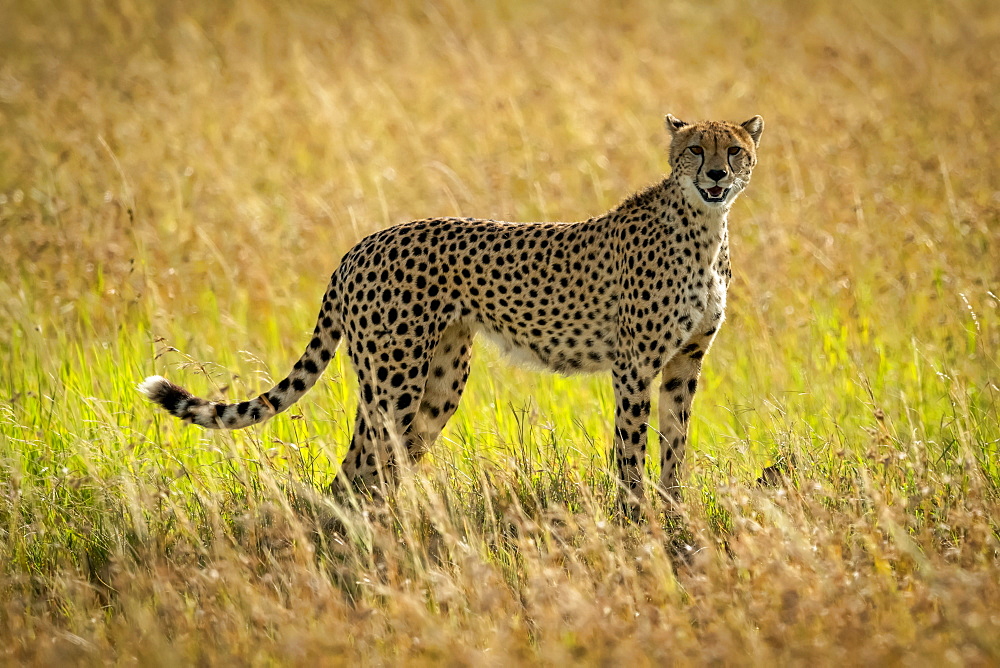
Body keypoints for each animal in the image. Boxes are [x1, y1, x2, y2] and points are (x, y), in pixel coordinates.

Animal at [139, 113, 764, 512]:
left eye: (734, 150)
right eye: (695, 150)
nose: (715, 175)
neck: (704, 228)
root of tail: (361, 245)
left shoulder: (685, 362)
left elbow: (675, 443)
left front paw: (676, 514)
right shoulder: (634, 365)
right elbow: (631, 447)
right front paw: (634, 521)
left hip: (437, 384)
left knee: (374, 471)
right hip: (393, 382)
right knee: (358, 469)